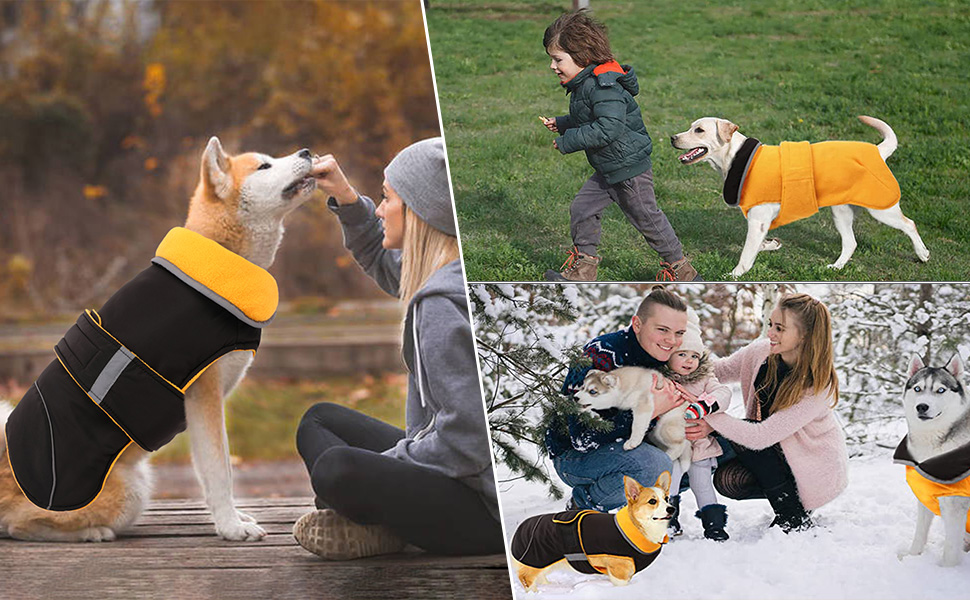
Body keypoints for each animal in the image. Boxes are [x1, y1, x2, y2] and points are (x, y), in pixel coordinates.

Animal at [0, 137, 316, 544]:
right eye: (264, 166)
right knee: (17, 525)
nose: (307, 152)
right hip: (131, 491)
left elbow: (214, 474)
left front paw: (232, 520)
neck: (219, 260)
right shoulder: (204, 397)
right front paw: (231, 528)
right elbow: (220, 472)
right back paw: (92, 532)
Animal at [506, 474, 672, 592]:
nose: (672, 509)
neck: (638, 526)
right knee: (525, 577)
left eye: (667, 498)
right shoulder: (620, 572)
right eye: (652, 501)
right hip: (537, 557)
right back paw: (534, 593)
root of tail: (520, 529)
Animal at [668, 116, 928, 278]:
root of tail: (878, 150)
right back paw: (835, 267)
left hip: (881, 210)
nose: (672, 137)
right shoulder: (760, 223)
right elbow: (758, 245)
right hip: (840, 213)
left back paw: (923, 254)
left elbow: (746, 254)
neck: (735, 158)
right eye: (691, 127)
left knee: (910, 224)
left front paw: (733, 275)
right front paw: (770, 244)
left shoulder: (757, 220)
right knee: (851, 243)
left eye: (699, 130)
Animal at [892, 356, 968, 568]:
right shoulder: (924, 494)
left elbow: (950, 550)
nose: (922, 406)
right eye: (918, 388)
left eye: (940, 390)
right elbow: (919, 535)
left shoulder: (955, 506)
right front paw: (913, 557)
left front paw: (947, 571)